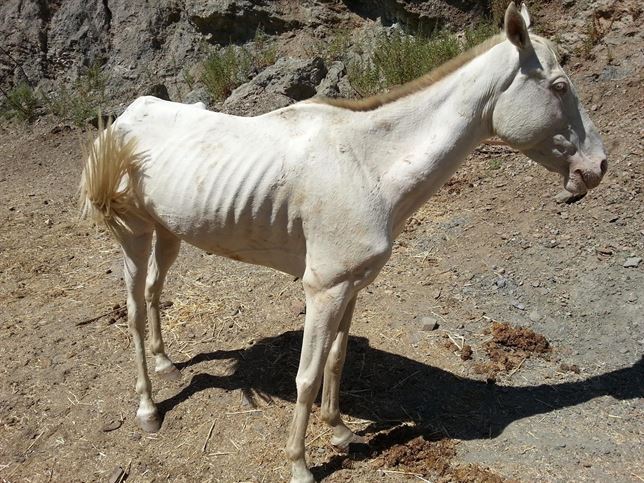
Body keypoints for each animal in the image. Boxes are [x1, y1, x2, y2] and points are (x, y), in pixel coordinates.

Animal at [79, 3, 606, 482]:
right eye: (559, 87)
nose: (597, 167)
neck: (368, 166)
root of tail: (129, 115)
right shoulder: (323, 290)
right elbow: (307, 375)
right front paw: (300, 466)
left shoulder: (352, 286)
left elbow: (337, 359)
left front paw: (340, 432)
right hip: (134, 235)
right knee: (134, 312)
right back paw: (148, 409)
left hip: (168, 233)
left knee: (153, 293)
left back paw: (167, 364)